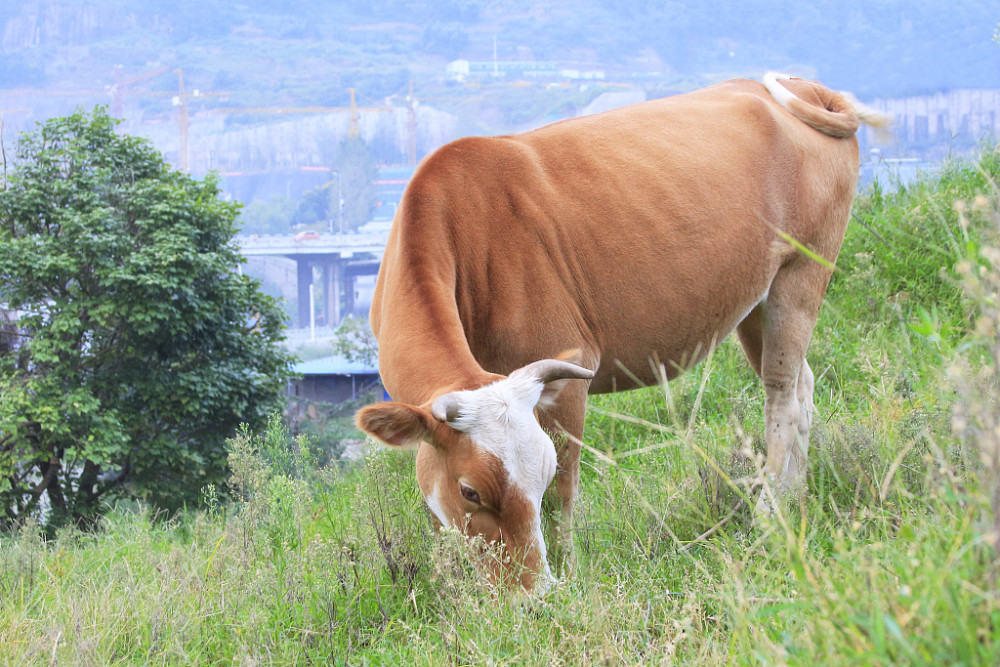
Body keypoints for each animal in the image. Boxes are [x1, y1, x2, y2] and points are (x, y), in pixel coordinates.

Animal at [356, 73, 888, 592]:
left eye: (540, 475)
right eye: (469, 491)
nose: (534, 596)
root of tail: (801, 87)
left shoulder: (567, 375)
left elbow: (564, 495)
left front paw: (569, 574)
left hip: (803, 271)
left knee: (781, 394)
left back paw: (767, 514)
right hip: (757, 298)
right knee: (802, 384)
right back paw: (794, 497)